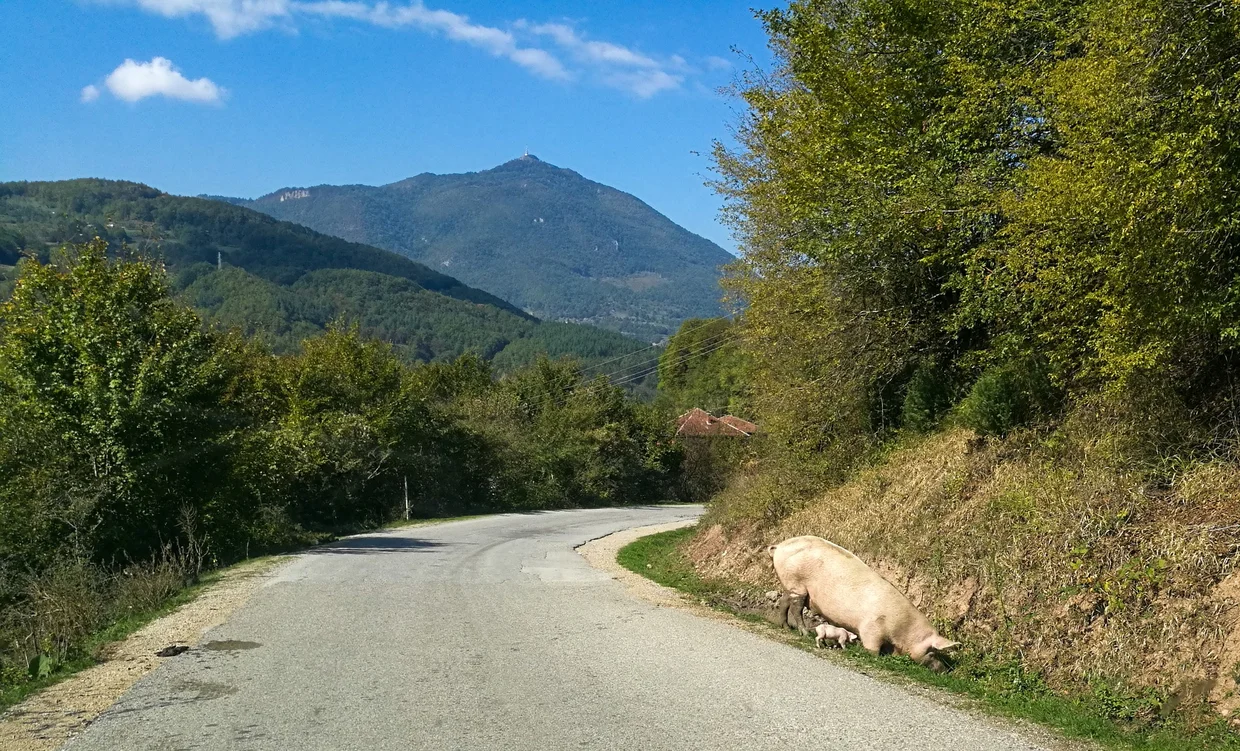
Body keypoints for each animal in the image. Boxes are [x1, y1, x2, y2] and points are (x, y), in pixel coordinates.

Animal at [768, 535, 961, 671]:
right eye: (932, 652)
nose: (945, 670)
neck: (902, 630)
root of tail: (779, 546)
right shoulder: (872, 627)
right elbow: (872, 648)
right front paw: (872, 655)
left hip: (790, 585)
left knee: (784, 602)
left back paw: (785, 627)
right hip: (797, 583)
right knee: (796, 608)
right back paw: (804, 633)